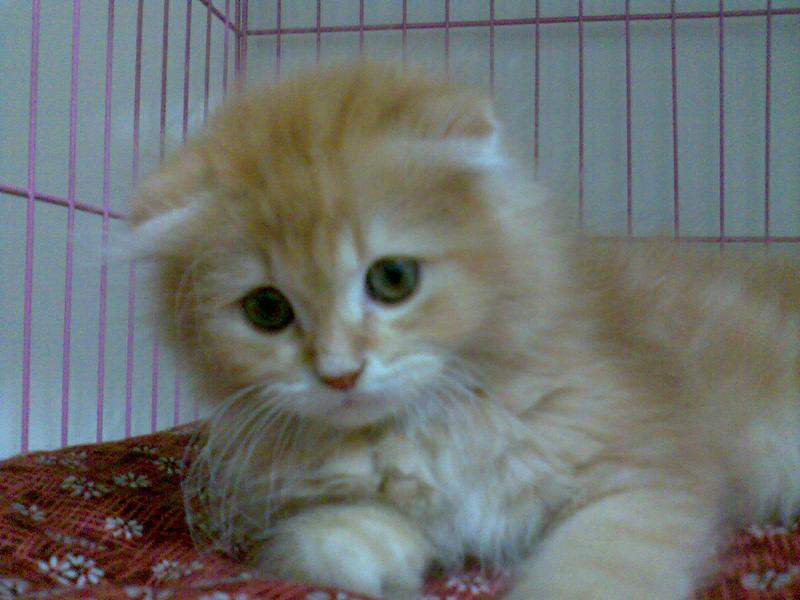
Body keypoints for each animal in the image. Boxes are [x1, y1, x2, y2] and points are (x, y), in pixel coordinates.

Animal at [128, 63, 800, 599]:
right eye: (267, 309)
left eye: (392, 279)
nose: (340, 374)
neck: (424, 428)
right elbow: (332, 542)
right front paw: (375, 558)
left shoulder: (645, 476)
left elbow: (591, 574)